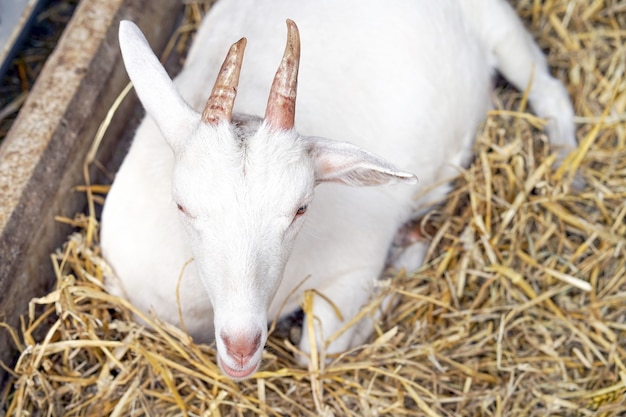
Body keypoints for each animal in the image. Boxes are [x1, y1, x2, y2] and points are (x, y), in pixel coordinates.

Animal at [100, 0, 572, 378]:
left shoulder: (355, 266)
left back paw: (567, 160)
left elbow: (317, 351)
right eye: (183, 205)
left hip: (499, 25)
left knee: (549, 89)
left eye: (301, 208)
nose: (241, 346)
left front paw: (403, 261)